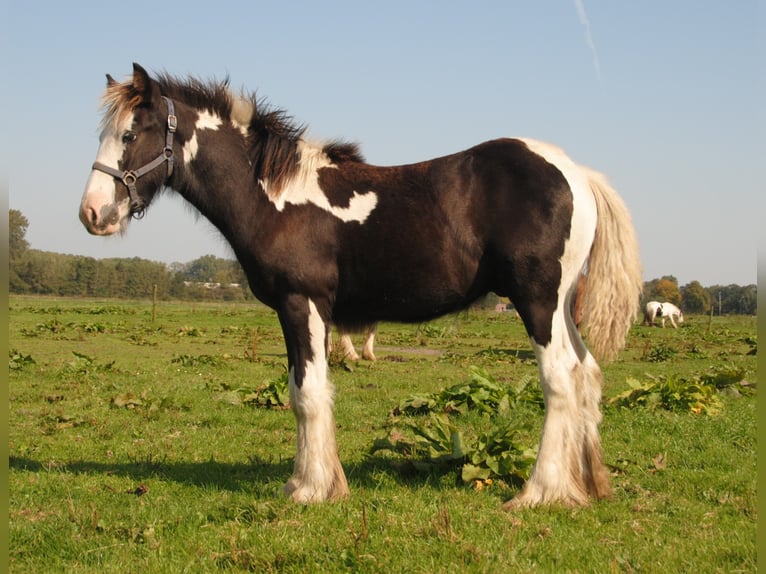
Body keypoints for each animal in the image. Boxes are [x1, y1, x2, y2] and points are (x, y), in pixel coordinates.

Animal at [79, 65, 640, 510]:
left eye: (131, 133)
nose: (92, 214)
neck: (274, 196)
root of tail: (576, 173)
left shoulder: (301, 303)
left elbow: (308, 394)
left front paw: (311, 490)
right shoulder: (302, 312)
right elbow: (304, 390)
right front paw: (311, 483)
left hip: (537, 302)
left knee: (560, 380)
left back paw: (539, 493)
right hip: (562, 306)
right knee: (587, 373)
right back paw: (589, 484)